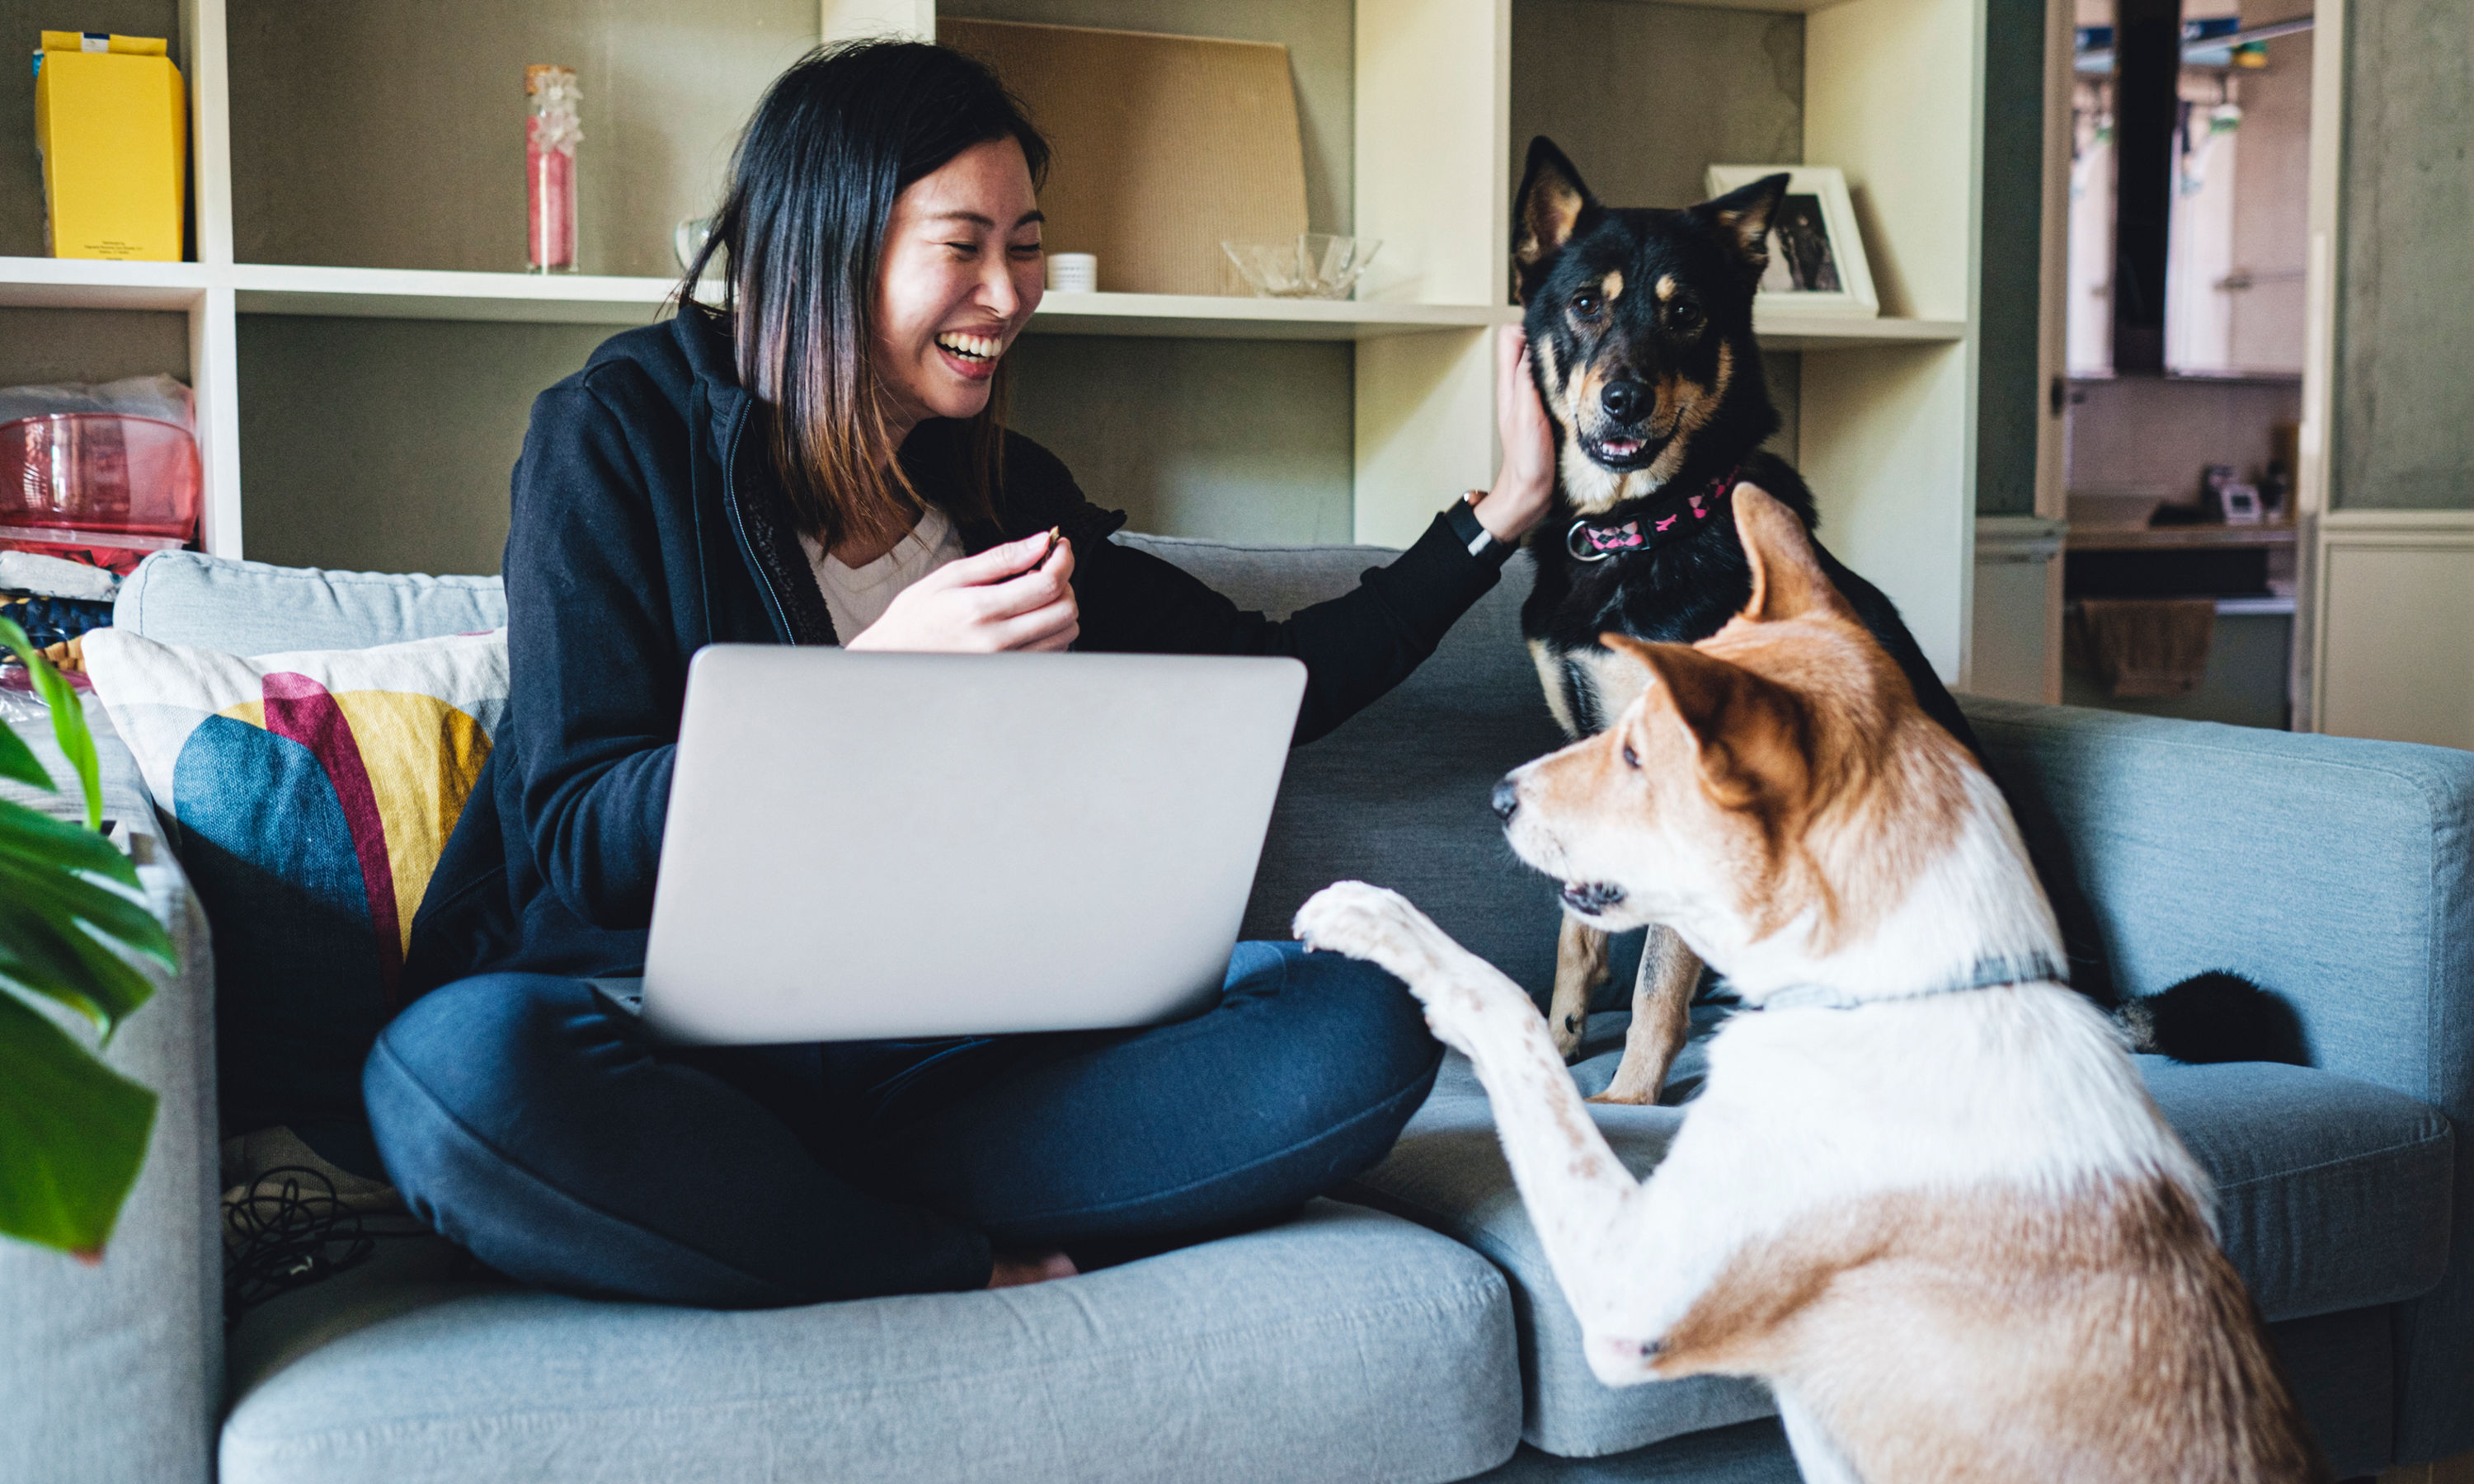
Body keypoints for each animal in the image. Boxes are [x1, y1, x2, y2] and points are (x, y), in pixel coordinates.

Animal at [1494, 136, 1979, 1103]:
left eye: (1685, 315)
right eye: (1583, 304)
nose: (1625, 400)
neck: (1642, 526)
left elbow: (1657, 973)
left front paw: (1628, 1098)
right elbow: (1576, 937)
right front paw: (1558, 1045)